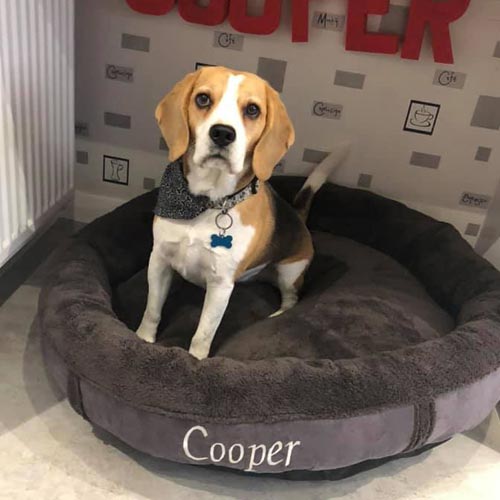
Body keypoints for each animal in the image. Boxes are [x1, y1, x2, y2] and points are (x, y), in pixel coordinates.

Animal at [136, 66, 348, 360]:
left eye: (252, 110)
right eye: (203, 99)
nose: (223, 133)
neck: (209, 201)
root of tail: (297, 214)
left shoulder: (221, 285)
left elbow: (203, 333)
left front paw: (195, 359)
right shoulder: (159, 260)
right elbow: (151, 310)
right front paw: (142, 340)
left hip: (290, 271)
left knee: (291, 298)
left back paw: (277, 316)